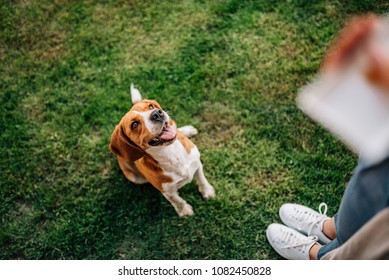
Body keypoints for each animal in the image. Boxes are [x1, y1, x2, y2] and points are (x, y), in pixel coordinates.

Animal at [109, 84, 215, 218]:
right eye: (134, 124)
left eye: (150, 106)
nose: (157, 113)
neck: (171, 152)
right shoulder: (166, 191)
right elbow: (177, 200)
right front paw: (184, 210)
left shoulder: (197, 164)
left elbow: (202, 180)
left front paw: (207, 192)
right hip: (135, 178)